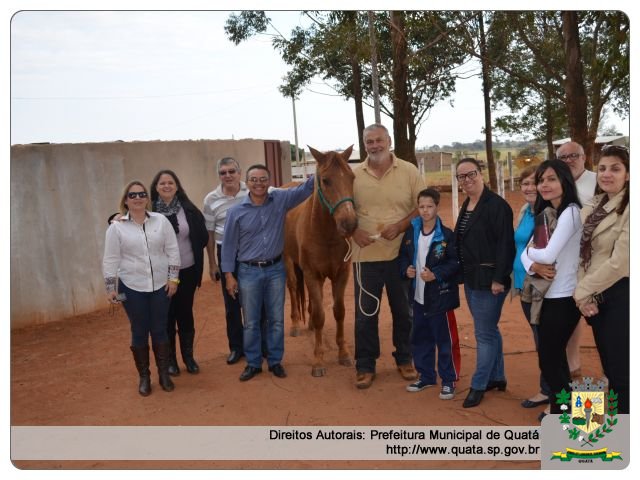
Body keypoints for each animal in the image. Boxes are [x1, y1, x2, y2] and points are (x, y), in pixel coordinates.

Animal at [284, 144, 360, 376]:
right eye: (326, 180)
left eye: (352, 177)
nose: (349, 223)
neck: (325, 234)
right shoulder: (312, 274)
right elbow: (320, 315)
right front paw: (318, 360)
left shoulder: (341, 274)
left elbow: (339, 311)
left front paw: (344, 353)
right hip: (288, 261)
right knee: (293, 288)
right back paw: (295, 325)